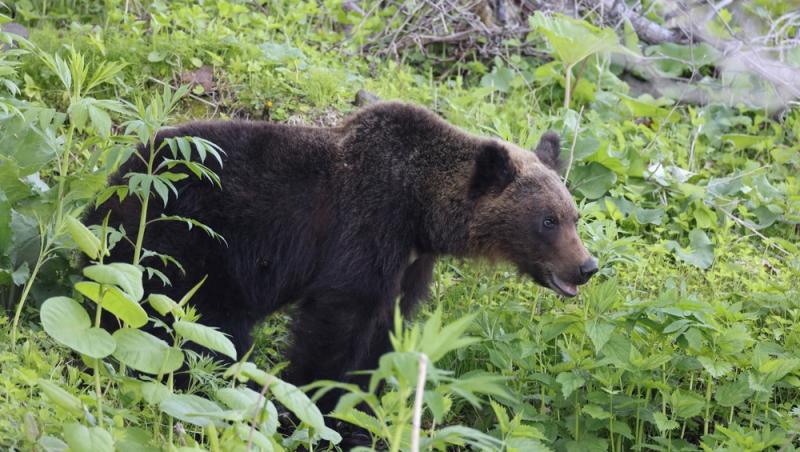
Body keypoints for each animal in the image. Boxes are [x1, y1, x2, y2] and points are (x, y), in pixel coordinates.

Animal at [90, 102, 596, 414]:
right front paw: (312, 400)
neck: (421, 213)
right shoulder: (365, 227)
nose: (587, 267)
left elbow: (385, 329)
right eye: (548, 220)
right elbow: (339, 319)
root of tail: (118, 180)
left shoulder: (408, 264)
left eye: (573, 216)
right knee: (189, 321)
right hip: (186, 237)